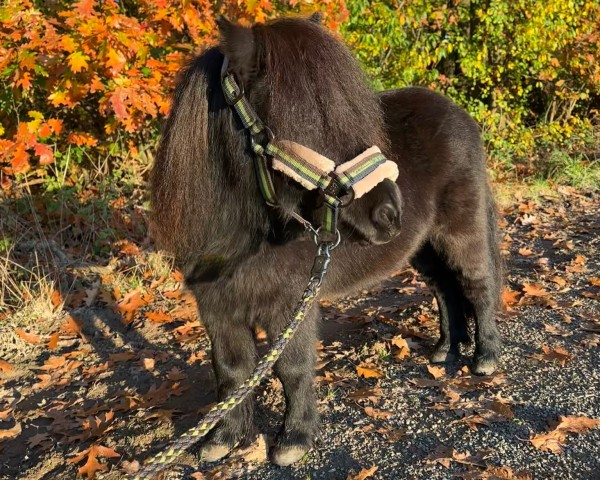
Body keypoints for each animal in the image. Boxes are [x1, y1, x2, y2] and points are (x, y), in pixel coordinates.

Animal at [151, 14, 502, 464]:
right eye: (299, 120)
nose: (390, 213)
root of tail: (457, 113)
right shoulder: (216, 309)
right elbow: (230, 372)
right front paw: (222, 439)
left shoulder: (290, 305)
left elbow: (292, 368)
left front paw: (294, 439)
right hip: (421, 247)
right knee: (444, 289)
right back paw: (447, 349)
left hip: (460, 233)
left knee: (477, 286)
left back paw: (485, 357)